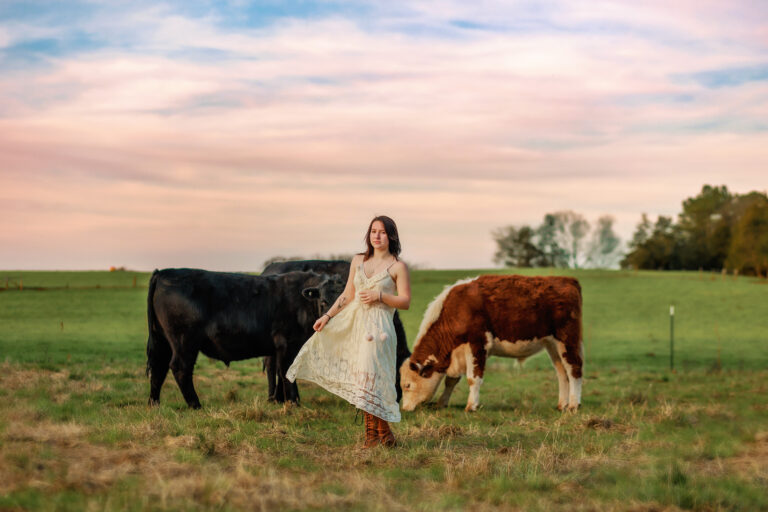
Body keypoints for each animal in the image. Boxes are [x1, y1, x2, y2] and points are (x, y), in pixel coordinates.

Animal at [146, 268, 344, 408]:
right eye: (324, 301)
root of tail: (163, 272)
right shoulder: (287, 344)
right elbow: (287, 372)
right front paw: (294, 402)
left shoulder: (278, 348)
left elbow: (280, 372)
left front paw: (279, 400)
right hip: (183, 340)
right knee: (179, 368)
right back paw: (195, 405)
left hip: (163, 340)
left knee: (158, 368)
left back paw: (154, 403)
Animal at [400, 276, 584, 412]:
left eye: (407, 385)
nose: (405, 409)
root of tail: (567, 280)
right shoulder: (457, 354)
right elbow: (451, 381)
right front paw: (442, 403)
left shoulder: (477, 344)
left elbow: (473, 378)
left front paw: (471, 406)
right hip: (552, 345)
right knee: (562, 373)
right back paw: (562, 404)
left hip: (567, 340)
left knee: (574, 369)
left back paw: (573, 405)